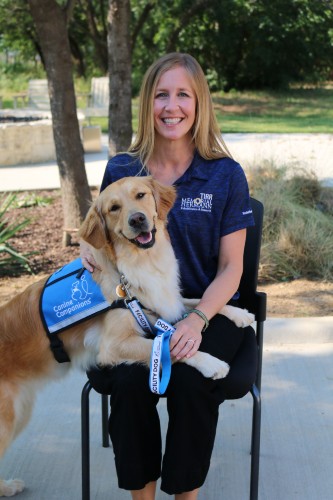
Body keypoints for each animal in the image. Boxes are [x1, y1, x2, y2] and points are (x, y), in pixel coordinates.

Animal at [0, 176, 252, 496]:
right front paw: (211, 363)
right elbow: (171, 344)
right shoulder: (113, 345)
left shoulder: (164, 305)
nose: (138, 219)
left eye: (141, 195)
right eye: (114, 208)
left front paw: (239, 313)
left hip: (20, 412)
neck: (140, 263)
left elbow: (196, 302)